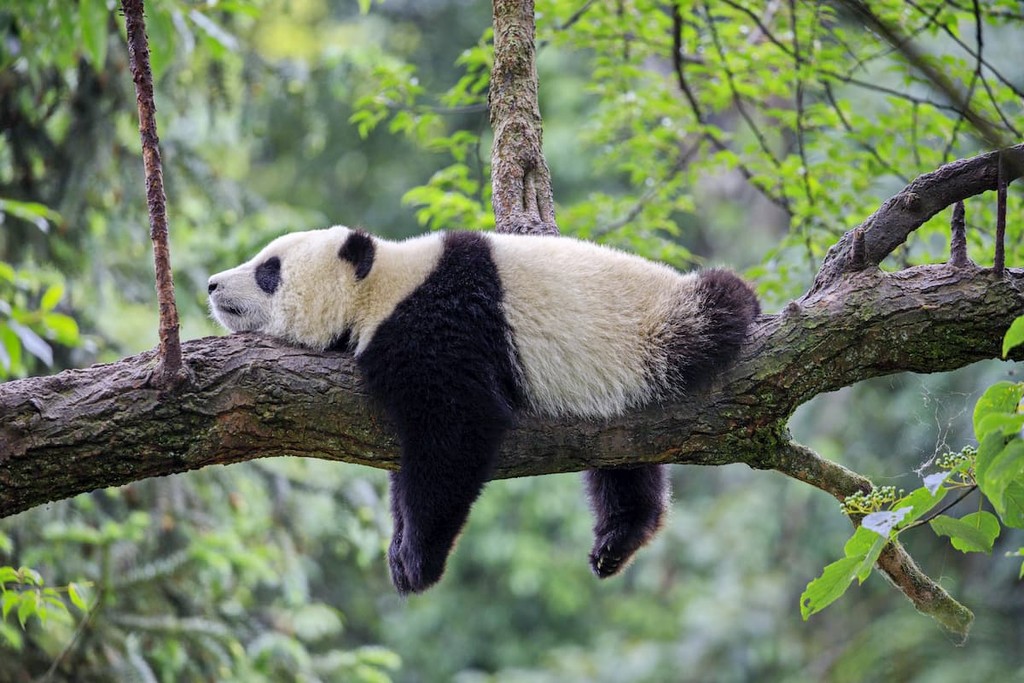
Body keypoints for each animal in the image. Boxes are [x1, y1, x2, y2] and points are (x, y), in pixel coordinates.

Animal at [208, 226, 759, 594]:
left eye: (269, 270)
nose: (212, 284)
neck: (383, 285)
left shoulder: (440, 324)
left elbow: (457, 431)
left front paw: (417, 560)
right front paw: (399, 546)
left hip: (655, 333)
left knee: (715, 309)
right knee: (623, 461)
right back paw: (618, 539)